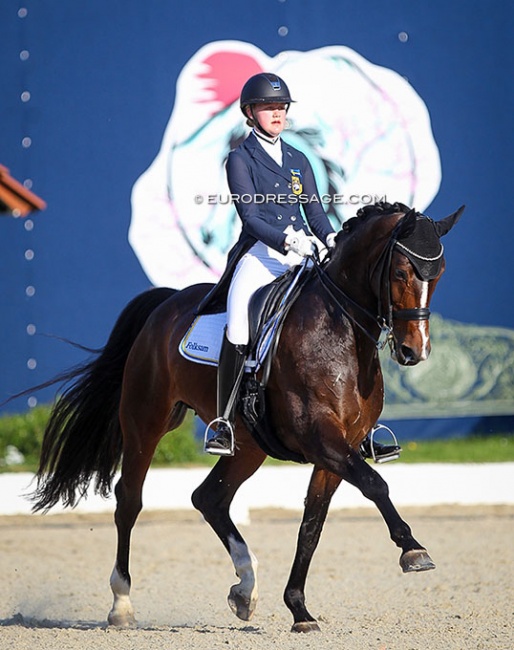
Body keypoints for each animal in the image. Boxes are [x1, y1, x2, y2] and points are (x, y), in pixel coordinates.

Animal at [30, 200, 462, 632]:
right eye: (401, 272)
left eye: (439, 273)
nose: (414, 351)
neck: (341, 334)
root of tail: (166, 305)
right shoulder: (320, 437)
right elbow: (375, 484)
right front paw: (413, 550)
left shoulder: (342, 447)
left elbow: (312, 524)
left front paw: (299, 609)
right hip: (145, 422)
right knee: (129, 501)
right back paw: (122, 604)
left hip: (249, 445)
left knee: (209, 498)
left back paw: (245, 588)